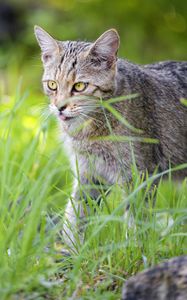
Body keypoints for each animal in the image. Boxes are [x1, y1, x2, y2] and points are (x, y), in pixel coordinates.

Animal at [34, 26, 187, 251]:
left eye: (79, 86)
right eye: (52, 85)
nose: (59, 107)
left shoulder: (140, 175)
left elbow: (136, 222)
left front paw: (134, 250)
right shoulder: (88, 172)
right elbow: (75, 215)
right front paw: (72, 252)